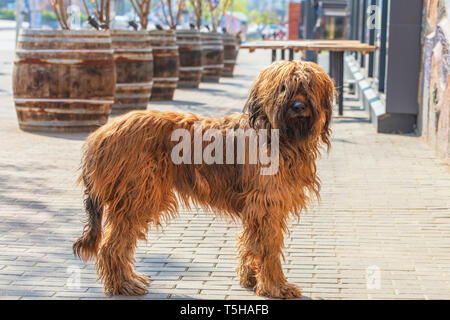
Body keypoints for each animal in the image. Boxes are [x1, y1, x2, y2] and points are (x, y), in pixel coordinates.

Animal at [74, 60, 334, 300]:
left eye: (308, 85)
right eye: (283, 87)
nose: (298, 106)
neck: (275, 134)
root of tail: (99, 134)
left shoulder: (256, 206)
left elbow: (250, 241)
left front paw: (250, 277)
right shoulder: (267, 205)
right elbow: (268, 246)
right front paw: (276, 286)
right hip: (138, 194)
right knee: (112, 244)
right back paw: (124, 284)